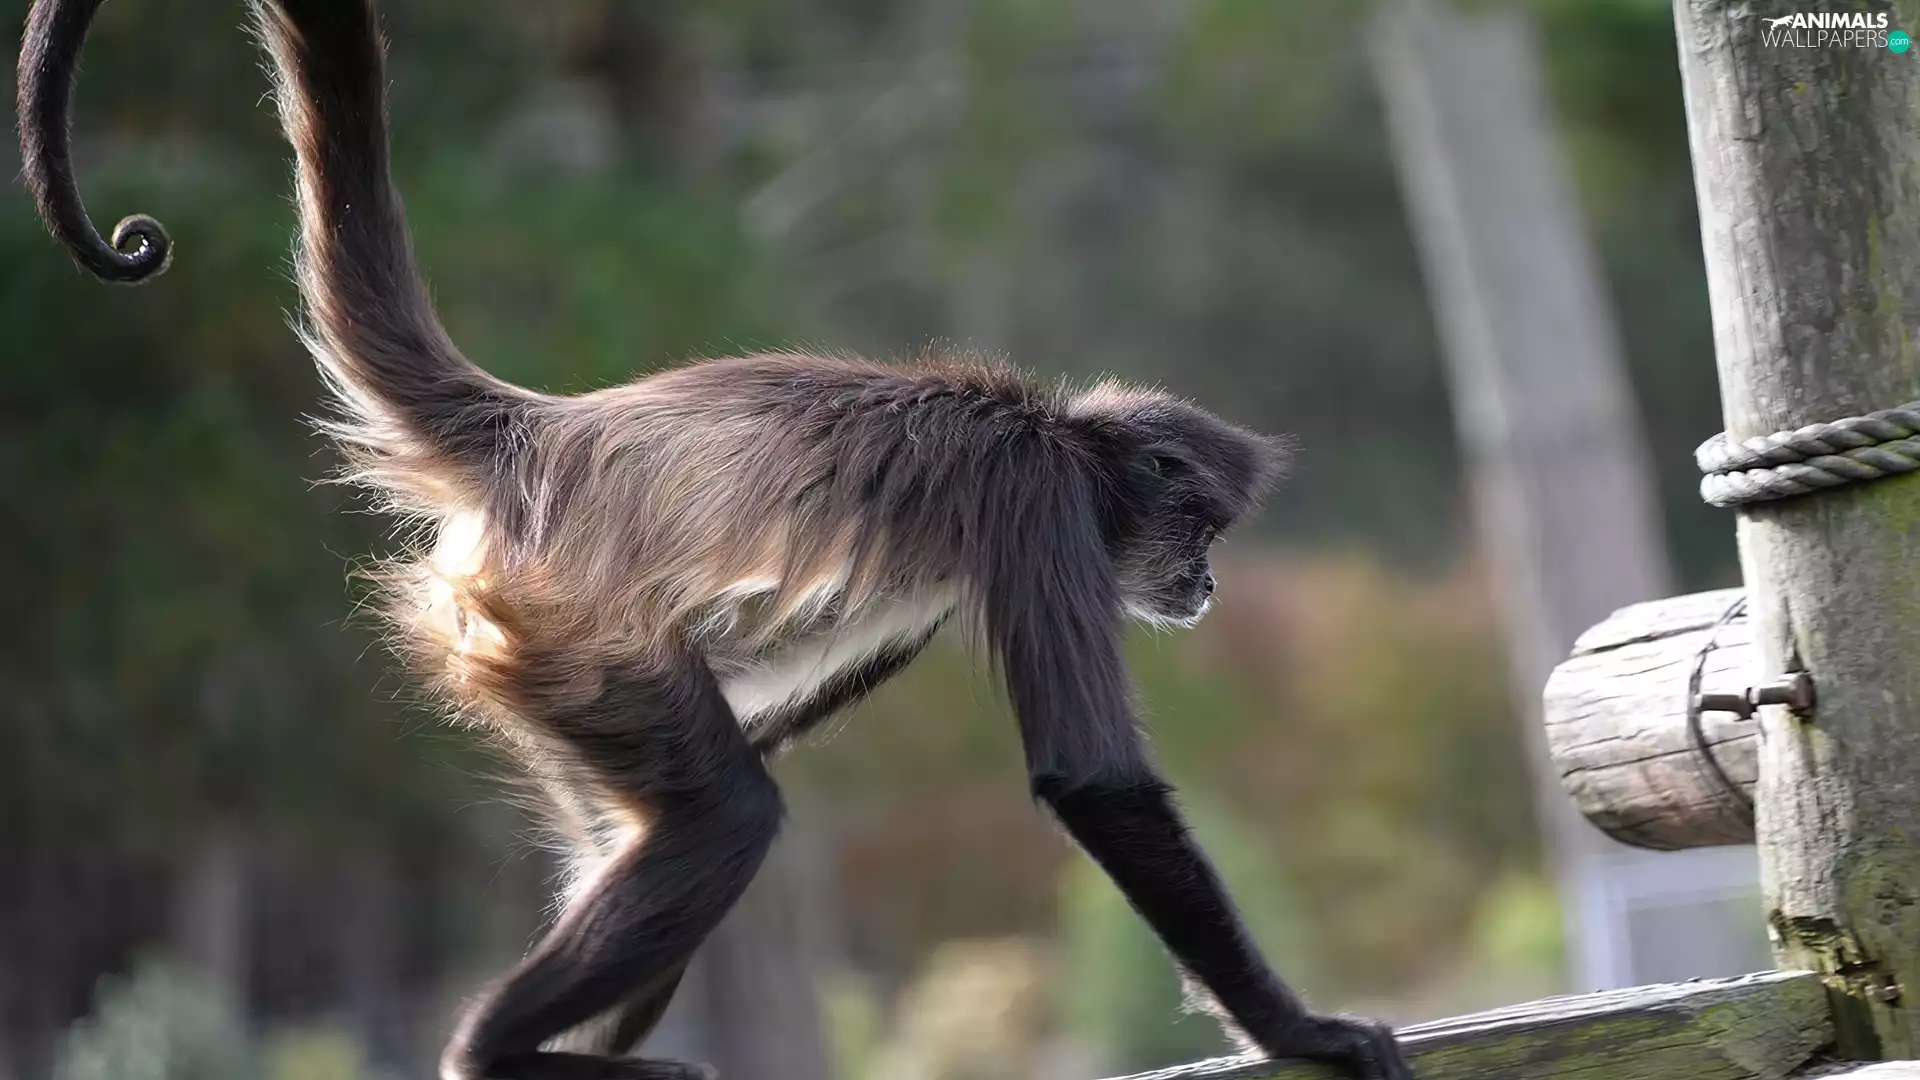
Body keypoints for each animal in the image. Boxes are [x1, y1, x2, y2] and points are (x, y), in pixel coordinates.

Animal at [16, 3, 1414, 1079]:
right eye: (1201, 525)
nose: (1211, 580)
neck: (1059, 437)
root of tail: (544, 434)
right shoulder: (1038, 509)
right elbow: (1094, 782)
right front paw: (1301, 1028)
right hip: (573, 628)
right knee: (728, 814)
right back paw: (488, 1051)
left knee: (646, 823)